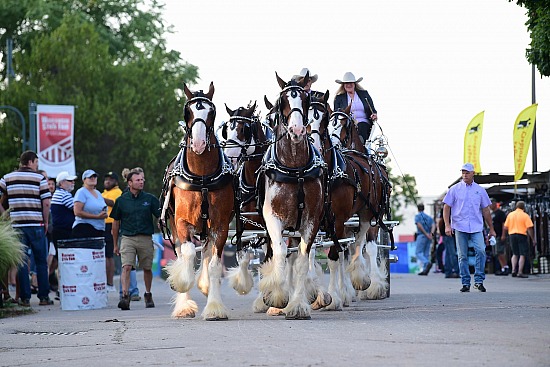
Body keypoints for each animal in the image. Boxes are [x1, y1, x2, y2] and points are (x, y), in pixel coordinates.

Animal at [161, 82, 236, 320]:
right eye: (188, 112)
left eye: (211, 112)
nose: (200, 142)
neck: (202, 177)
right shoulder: (182, 222)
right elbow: (185, 255)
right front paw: (182, 291)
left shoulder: (220, 225)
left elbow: (214, 264)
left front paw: (214, 307)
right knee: (183, 252)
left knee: (206, 251)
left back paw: (205, 285)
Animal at [258, 73, 332, 320]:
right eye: (283, 100)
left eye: (305, 99)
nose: (298, 130)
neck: (295, 169)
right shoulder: (272, 217)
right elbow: (280, 253)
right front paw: (277, 297)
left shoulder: (312, 219)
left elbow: (301, 260)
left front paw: (298, 305)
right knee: (276, 252)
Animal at [326, 105, 394, 300]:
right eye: (329, 124)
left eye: (344, 124)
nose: (334, 145)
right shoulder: (343, 221)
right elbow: (344, 250)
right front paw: (347, 288)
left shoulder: (373, 217)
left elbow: (370, 248)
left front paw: (374, 285)